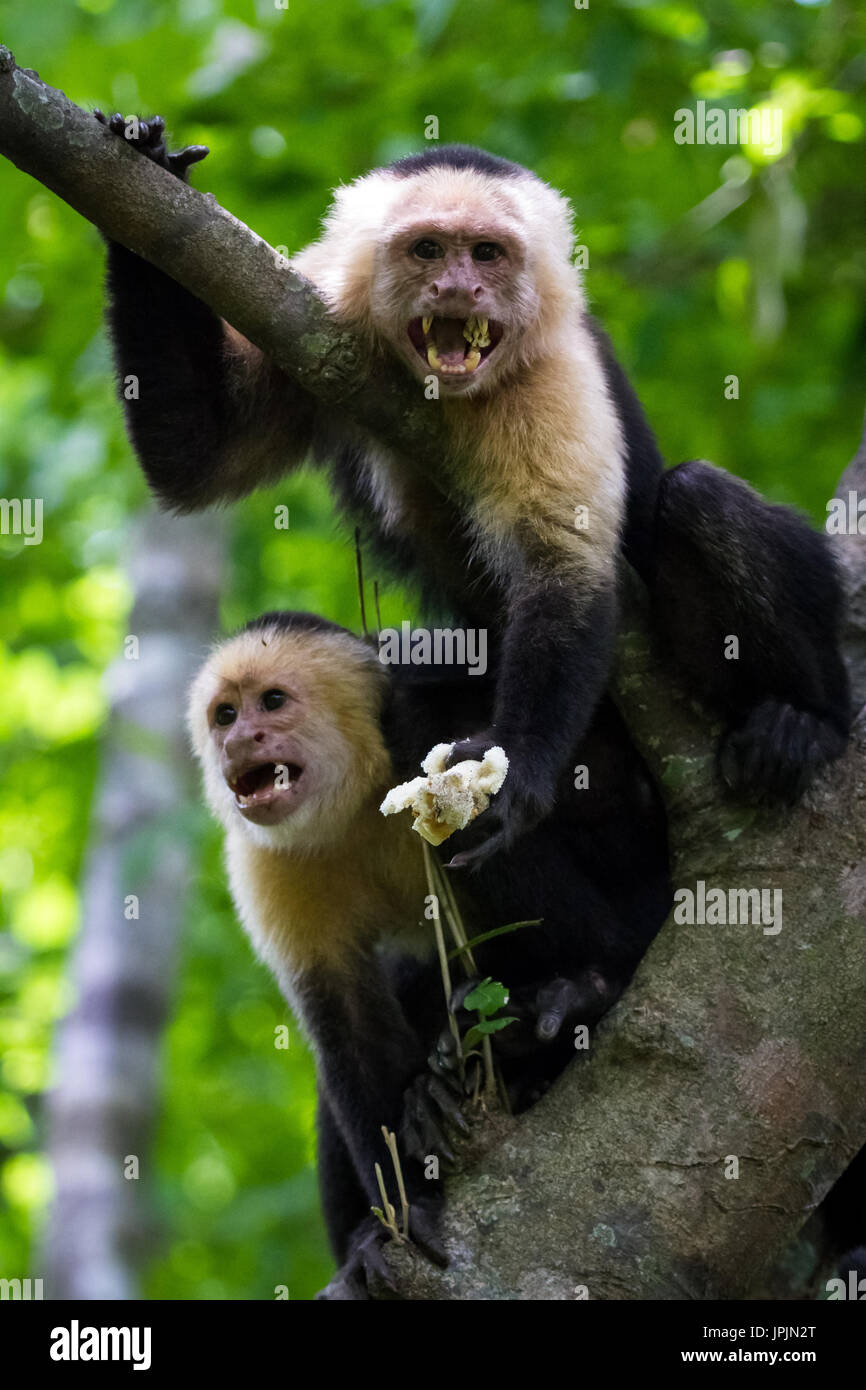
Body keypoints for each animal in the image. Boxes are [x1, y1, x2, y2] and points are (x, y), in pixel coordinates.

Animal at [98, 115, 851, 865]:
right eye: (428, 250)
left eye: (487, 254)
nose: (458, 290)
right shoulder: (308, 311)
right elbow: (196, 461)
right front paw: (149, 167)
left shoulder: (552, 367)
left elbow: (561, 563)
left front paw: (515, 766)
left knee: (698, 496)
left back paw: (807, 719)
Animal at [187, 609, 671, 1298]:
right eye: (225, 714)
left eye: (272, 702)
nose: (239, 741)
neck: (357, 797)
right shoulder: (267, 863)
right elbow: (347, 1025)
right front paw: (402, 1213)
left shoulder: (425, 716)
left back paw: (575, 998)